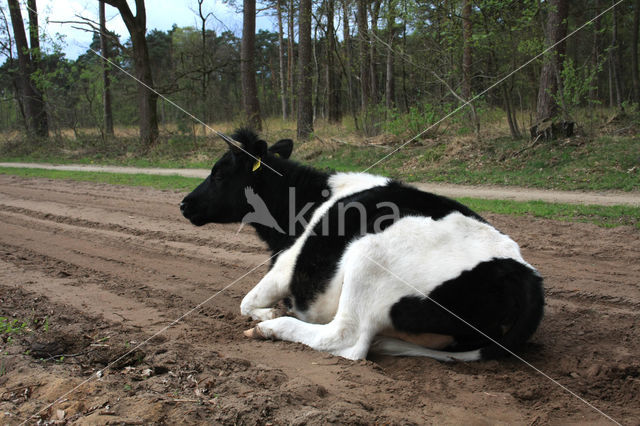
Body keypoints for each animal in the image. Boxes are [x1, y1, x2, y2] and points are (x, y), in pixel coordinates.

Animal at [180, 128, 544, 362]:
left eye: (218, 175)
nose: (184, 204)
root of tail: (522, 274)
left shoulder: (286, 266)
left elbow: (246, 302)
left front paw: (268, 313)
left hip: (368, 257)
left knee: (346, 340)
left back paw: (270, 328)